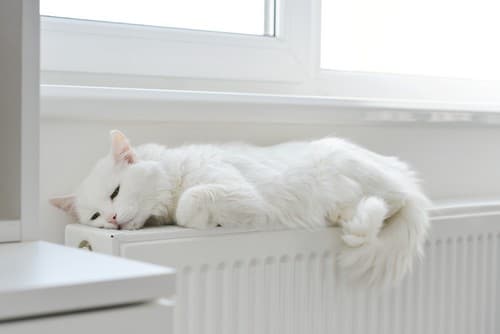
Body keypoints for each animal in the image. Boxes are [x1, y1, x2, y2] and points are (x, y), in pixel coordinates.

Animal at [52, 130, 432, 284]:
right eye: (95, 216)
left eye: (115, 193)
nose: (113, 219)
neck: (176, 171)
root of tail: (407, 177)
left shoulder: (243, 195)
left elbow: (190, 204)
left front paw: (210, 221)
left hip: (352, 175)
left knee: (391, 204)